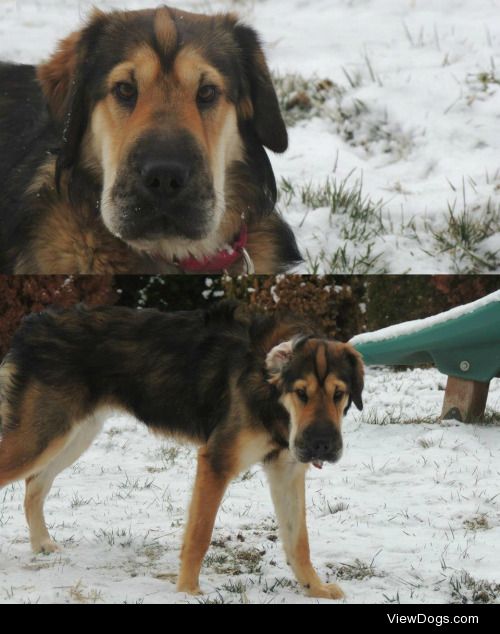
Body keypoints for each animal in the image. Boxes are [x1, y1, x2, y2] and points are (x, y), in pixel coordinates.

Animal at [0, 302, 362, 596]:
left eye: (339, 393)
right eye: (301, 393)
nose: (321, 445)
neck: (269, 389)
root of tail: (32, 325)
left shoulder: (286, 469)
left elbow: (299, 542)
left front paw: (315, 588)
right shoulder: (216, 461)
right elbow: (200, 534)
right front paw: (188, 591)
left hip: (74, 434)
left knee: (34, 486)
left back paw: (42, 545)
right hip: (42, 437)